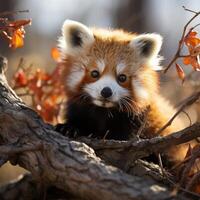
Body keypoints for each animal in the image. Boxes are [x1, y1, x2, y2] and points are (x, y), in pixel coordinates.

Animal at [55, 20, 189, 163]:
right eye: (95, 73)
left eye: (122, 77)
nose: (106, 91)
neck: (104, 111)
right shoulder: (78, 109)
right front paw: (69, 128)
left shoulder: (137, 120)